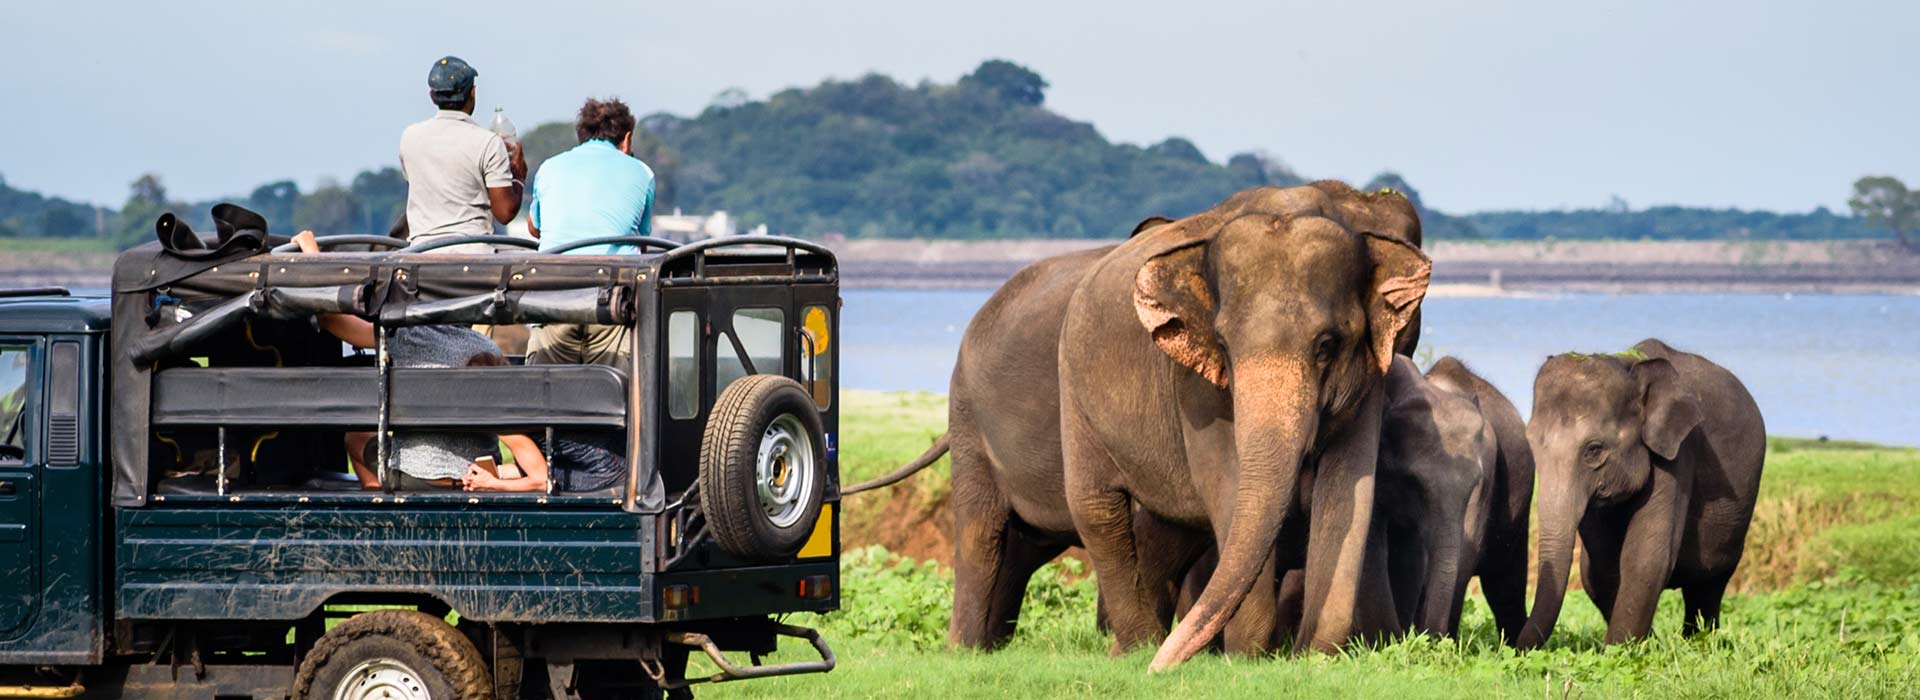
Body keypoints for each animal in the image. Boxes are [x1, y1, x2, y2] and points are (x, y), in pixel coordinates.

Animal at [1059, 200, 1436, 663]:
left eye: (1327, 345)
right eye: (1222, 344)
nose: (1162, 667)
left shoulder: (1369, 378)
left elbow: (1349, 487)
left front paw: (1312, 657)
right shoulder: (1195, 386)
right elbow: (1226, 483)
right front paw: (1248, 656)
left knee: (1164, 532)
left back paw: (1135, 652)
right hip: (1074, 392)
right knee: (1096, 509)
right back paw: (1139, 650)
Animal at [1512, 335, 1766, 644]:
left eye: (1594, 450)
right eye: (1531, 445)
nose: (1513, 647)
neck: (1628, 365)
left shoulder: (1678, 451)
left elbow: (1645, 557)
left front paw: (1618, 650)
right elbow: (1600, 569)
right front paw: (1642, 646)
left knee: (1709, 583)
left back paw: (1699, 641)